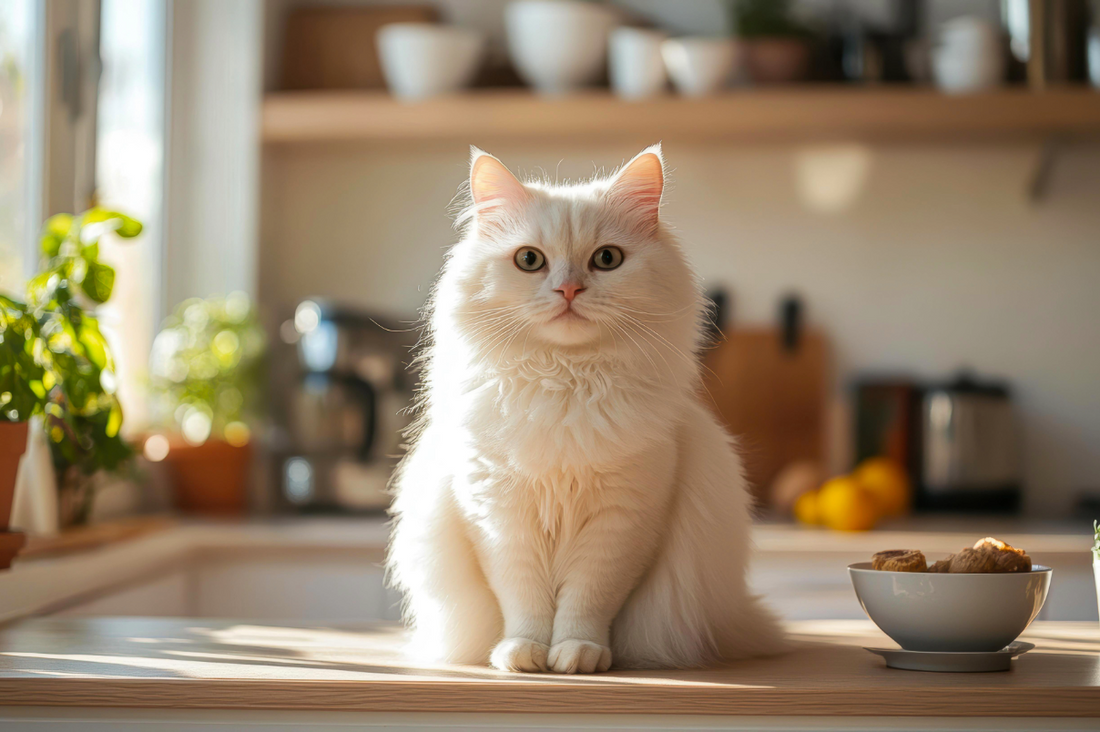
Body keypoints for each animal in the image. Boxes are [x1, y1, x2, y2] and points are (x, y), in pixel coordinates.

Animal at [387, 144, 783, 673]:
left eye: (606, 259)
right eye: (530, 260)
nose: (569, 290)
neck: (565, 382)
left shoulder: (623, 520)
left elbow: (588, 600)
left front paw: (579, 654)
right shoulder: (499, 520)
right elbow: (524, 600)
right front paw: (524, 654)